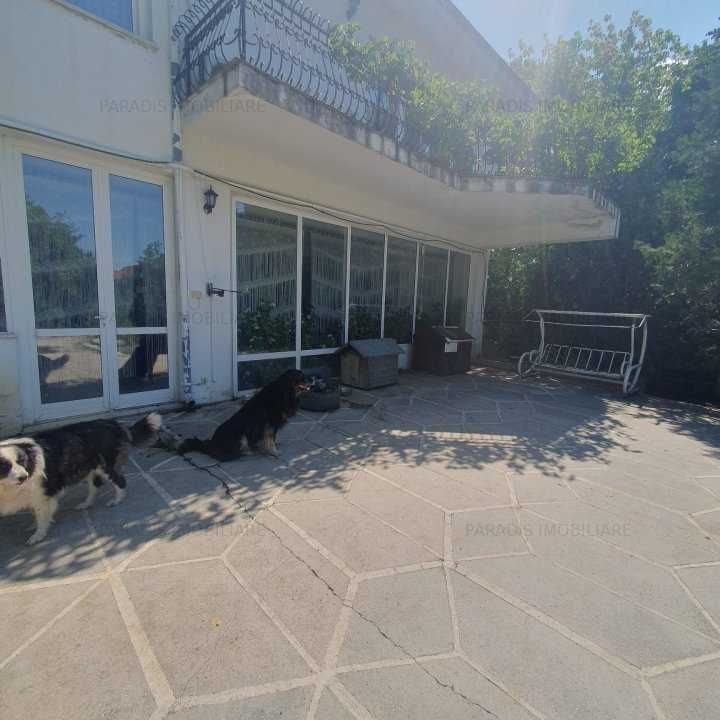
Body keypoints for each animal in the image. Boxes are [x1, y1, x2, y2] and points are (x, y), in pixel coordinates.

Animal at [0, 413, 161, 545]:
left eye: (21, 461)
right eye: (5, 466)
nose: (24, 477)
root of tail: (114, 424)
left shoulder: (43, 492)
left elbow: (41, 515)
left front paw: (38, 534)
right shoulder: (34, 494)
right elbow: (35, 512)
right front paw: (34, 526)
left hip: (106, 466)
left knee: (120, 482)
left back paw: (116, 500)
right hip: (89, 468)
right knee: (95, 486)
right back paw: (86, 503)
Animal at [178, 370, 309, 461]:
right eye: (301, 377)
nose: (312, 379)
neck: (285, 391)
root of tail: (212, 444)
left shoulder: (272, 426)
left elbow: (272, 438)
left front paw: (273, 447)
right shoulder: (269, 424)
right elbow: (270, 439)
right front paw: (274, 451)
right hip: (242, 435)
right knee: (235, 452)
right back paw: (250, 451)